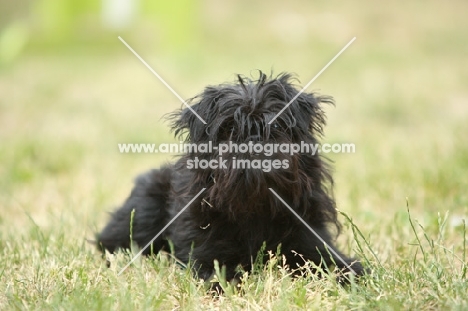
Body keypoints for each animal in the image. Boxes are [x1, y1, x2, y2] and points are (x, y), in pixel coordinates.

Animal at [97, 72, 364, 282]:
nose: (253, 139)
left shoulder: (313, 242)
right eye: (229, 129)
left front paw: (352, 276)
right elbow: (214, 272)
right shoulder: (206, 254)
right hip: (145, 207)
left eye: (277, 127)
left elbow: (334, 263)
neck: (256, 206)